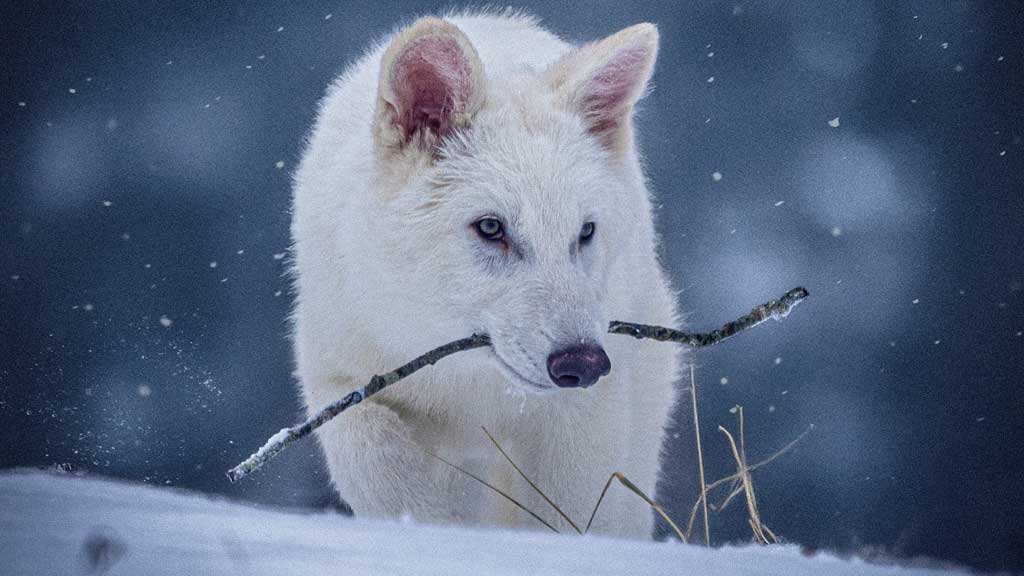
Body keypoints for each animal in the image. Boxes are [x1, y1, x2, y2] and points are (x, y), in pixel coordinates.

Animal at [291, 11, 683, 538]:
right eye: (491, 227)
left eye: (584, 231)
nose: (583, 363)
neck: (469, 382)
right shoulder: (339, 379)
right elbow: (379, 464)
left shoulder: (581, 417)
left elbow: (568, 516)